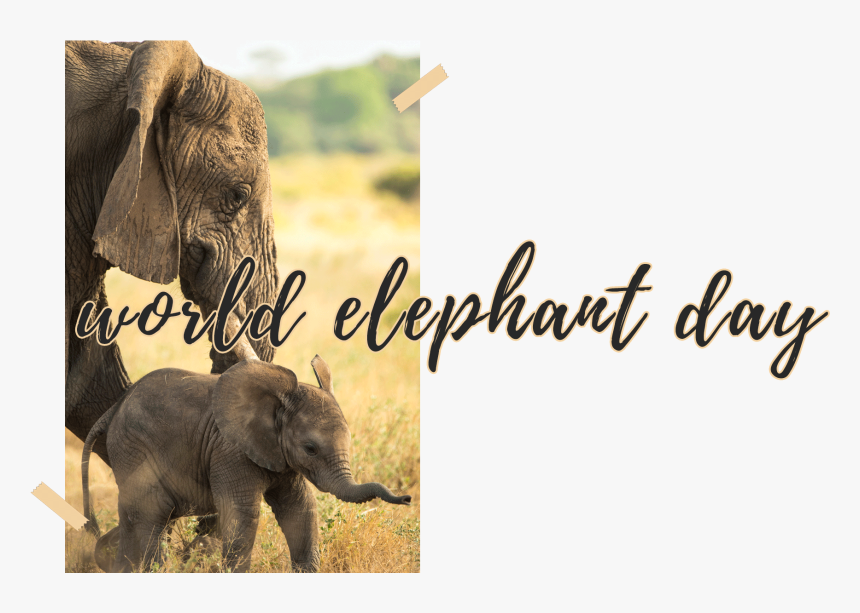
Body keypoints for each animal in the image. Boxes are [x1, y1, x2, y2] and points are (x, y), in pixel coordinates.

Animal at [82, 355, 411, 573]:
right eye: (311, 449)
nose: (407, 498)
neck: (276, 404)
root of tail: (115, 407)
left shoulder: (279, 455)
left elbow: (300, 509)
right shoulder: (231, 451)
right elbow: (244, 513)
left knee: (135, 516)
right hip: (134, 447)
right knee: (154, 514)